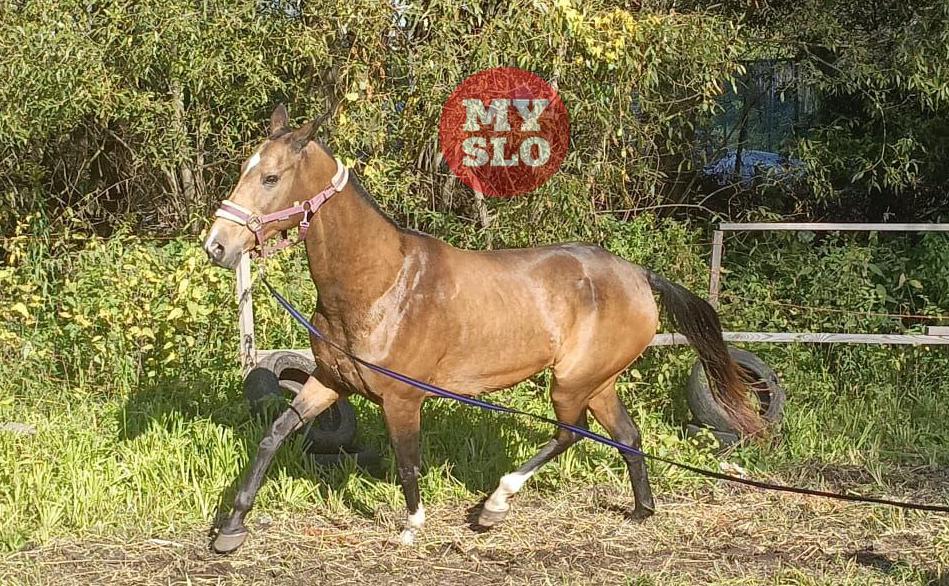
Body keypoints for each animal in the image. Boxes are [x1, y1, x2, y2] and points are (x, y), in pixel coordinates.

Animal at [203, 104, 763, 554]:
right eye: (244, 170)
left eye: (271, 178)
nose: (217, 246)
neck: (380, 286)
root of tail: (640, 275)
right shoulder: (330, 380)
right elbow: (274, 436)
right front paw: (231, 528)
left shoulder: (402, 398)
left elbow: (407, 460)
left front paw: (412, 527)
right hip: (599, 381)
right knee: (626, 436)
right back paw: (642, 511)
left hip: (572, 382)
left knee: (570, 432)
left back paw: (495, 504)